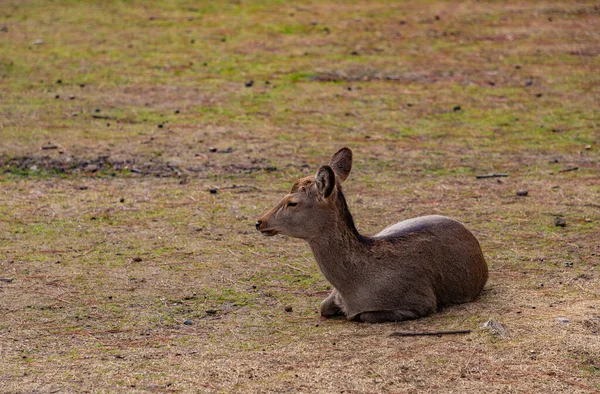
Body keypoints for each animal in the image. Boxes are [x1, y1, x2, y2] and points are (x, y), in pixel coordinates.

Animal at [254, 148, 488, 324]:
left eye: (292, 202)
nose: (260, 222)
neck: (352, 288)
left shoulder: (421, 301)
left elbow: (363, 316)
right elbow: (323, 306)